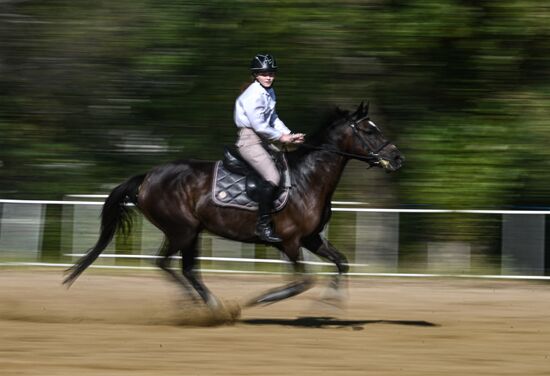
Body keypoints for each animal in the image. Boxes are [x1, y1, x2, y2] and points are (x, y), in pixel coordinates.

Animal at [64, 101, 406, 310]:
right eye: (369, 130)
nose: (398, 158)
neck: (307, 180)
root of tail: (148, 176)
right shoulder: (290, 242)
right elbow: (302, 281)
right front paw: (263, 299)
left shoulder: (311, 238)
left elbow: (341, 263)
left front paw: (330, 303)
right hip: (181, 230)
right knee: (165, 264)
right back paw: (208, 308)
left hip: (192, 232)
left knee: (186, 269)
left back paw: (209, 305)